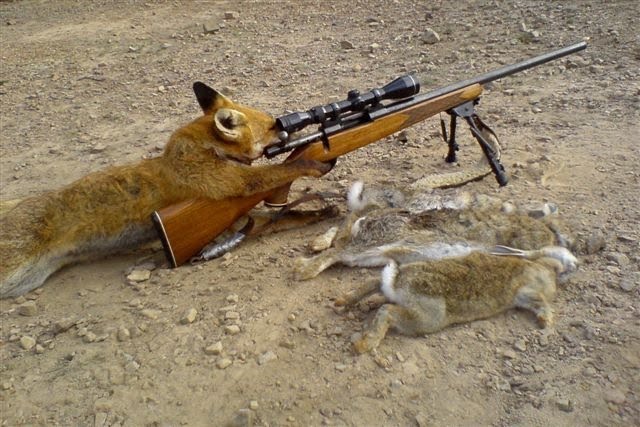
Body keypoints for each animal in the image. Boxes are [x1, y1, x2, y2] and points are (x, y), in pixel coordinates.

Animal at [0, 82, 332, 298]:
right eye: (274, 126)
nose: (287, 127)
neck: (204, 150)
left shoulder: (238, 214)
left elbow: (288, 217)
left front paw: (323, 212)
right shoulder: (232, 184)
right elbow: (281, 171)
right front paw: (315, 163)